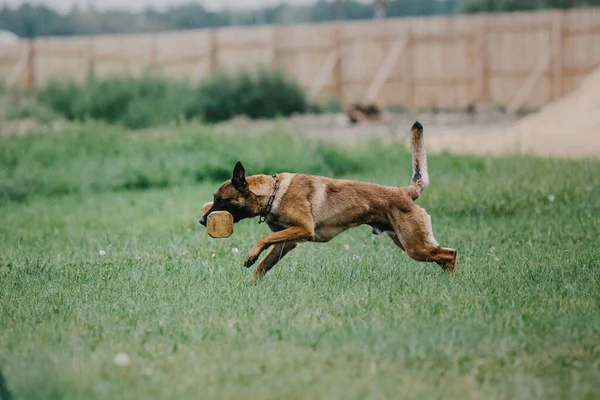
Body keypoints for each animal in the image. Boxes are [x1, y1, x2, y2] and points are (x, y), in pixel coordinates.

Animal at [199, 120, 458, 280]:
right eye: (214, 199)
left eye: (221, 200)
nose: (202, 221)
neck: (274, 192)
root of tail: (405, 192)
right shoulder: (287, 242)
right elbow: (263, 266)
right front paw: (250, 284)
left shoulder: (303, 229)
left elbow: (264, 239)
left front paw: (250, 256)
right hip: (408, 244)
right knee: (445, 255)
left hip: (415, 246)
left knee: (451, 254)